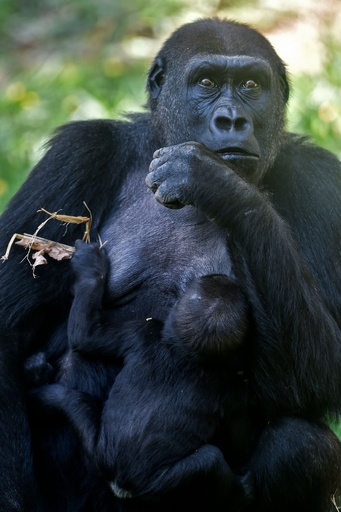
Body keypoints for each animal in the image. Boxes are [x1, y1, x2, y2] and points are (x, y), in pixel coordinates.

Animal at [34, 242, 251, 506]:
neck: (186, 353)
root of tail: (121, 484)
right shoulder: (146, 331)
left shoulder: (142, 332)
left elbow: (86, 334)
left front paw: (90, 269)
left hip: (109, 458)